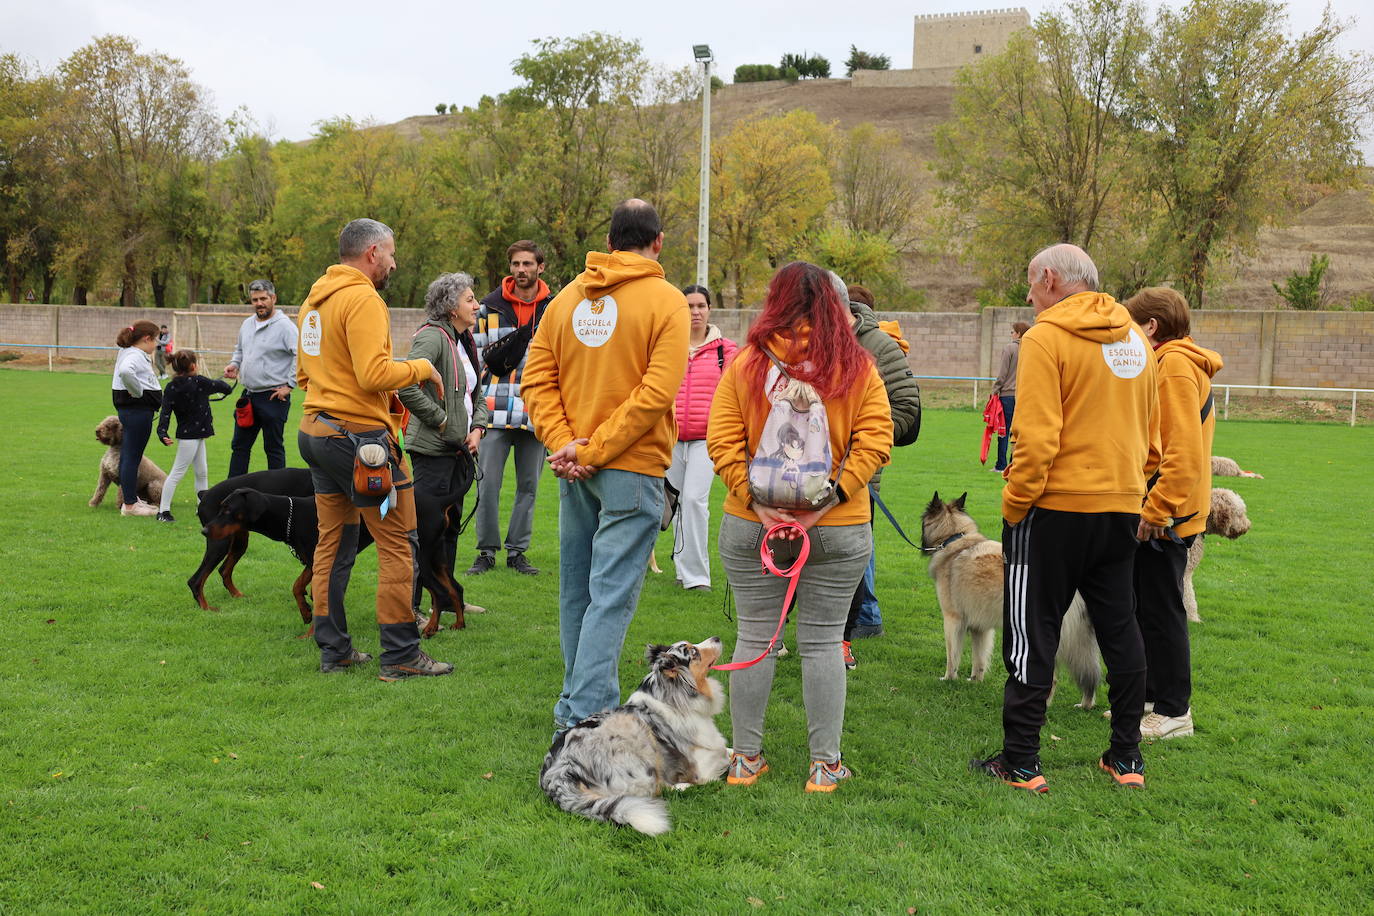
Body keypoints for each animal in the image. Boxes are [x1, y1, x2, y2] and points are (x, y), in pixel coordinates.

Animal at [923, 494, 1104, 708]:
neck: (955, 539)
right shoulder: (980, 628)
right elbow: (979, 658)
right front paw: (975, 681)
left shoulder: (952, 620)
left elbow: (952, 656)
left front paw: (948, 678)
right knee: (1090, 674)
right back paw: (1085, 705)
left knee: (1052, 678)